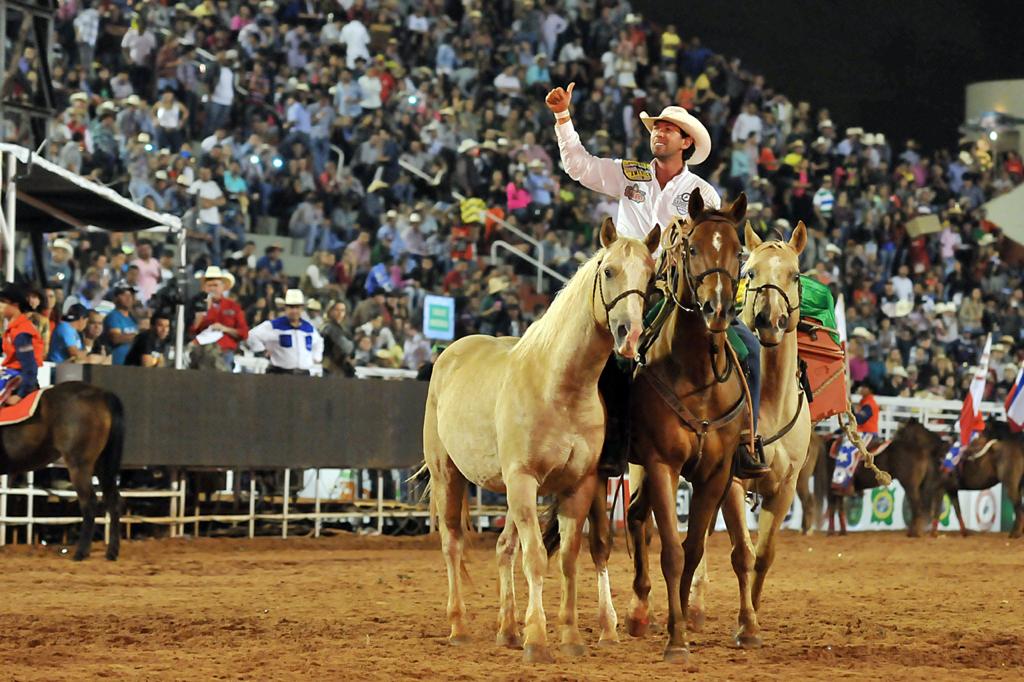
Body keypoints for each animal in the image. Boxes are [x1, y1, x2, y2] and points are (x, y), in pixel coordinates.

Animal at [0, 378, 124, 561]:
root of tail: (101, 394)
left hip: (79, 465)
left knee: (90, 502)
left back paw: (81, 552)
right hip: (102, 465)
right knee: (113, 500)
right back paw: (111, 552)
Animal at [421, 219, 655, 659]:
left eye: (650, 276)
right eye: (609, 270)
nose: (629, 334)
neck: (558, 385)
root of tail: (449, 353)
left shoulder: (578, 485)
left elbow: (567, 558)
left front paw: (570, 636)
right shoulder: (524, 480)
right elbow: (535, 559)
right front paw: (537, 638)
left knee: (502, 548)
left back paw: (507, 630)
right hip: (450, 477)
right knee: (453, 544)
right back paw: (459, 626)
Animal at [618, 189, 749, 659]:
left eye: (739, 251)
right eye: (692, 248)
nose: (717, 309)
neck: (697, 375)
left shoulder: (716, 473)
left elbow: (693, 549)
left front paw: (684, 624)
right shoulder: (662, 465)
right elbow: (672, 552)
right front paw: (676, 640)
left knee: (636, 516)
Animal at [684, 220, 811, 647]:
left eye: (794, 275)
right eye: (751, 272)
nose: (770, 320)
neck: (769, 402)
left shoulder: (786, 486)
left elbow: (764, 556)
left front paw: (753, 613)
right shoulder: (733, 482)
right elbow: (742, 552)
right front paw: (746, 625)